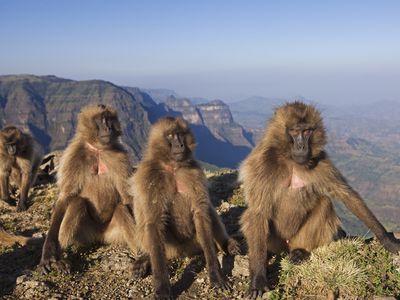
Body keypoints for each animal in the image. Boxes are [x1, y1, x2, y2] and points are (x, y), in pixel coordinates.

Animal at [39, 104, 135, 274]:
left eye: (109, 119)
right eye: (101, 120)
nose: (108, 128)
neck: (97, 149)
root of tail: (100, 236)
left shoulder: (120, 158)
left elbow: (127, 197)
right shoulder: (73, 156)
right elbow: (66, 196)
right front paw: (49, 253)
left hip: (113, 233)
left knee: (121, 209)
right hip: (84, 234)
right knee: (77, 202)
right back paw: (62, 257)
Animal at [130, 116, 241, 298]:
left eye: (181, 134)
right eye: (171, 136)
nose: (181, 145)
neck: (173, 167)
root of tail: (184, 252)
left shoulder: (194, 172)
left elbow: (200, 213)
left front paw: (215, 274)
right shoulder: (149, 177)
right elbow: (154, 221)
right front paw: (162, 287)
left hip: (194, 241)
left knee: (207, 209)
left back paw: (227, 244)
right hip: (171, 247)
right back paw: (146, 258)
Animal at [241, 102, 400, 298]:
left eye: (307, 131)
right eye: (294, 131)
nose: (302, 146)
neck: (290, 160)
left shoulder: (321, 160)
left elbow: (345, 193)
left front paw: (387, 239)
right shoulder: (263, 164)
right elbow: (258, 212)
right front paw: (258, 279)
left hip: (297, 238)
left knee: (324, 202)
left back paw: (299, 252)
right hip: (275, 242)